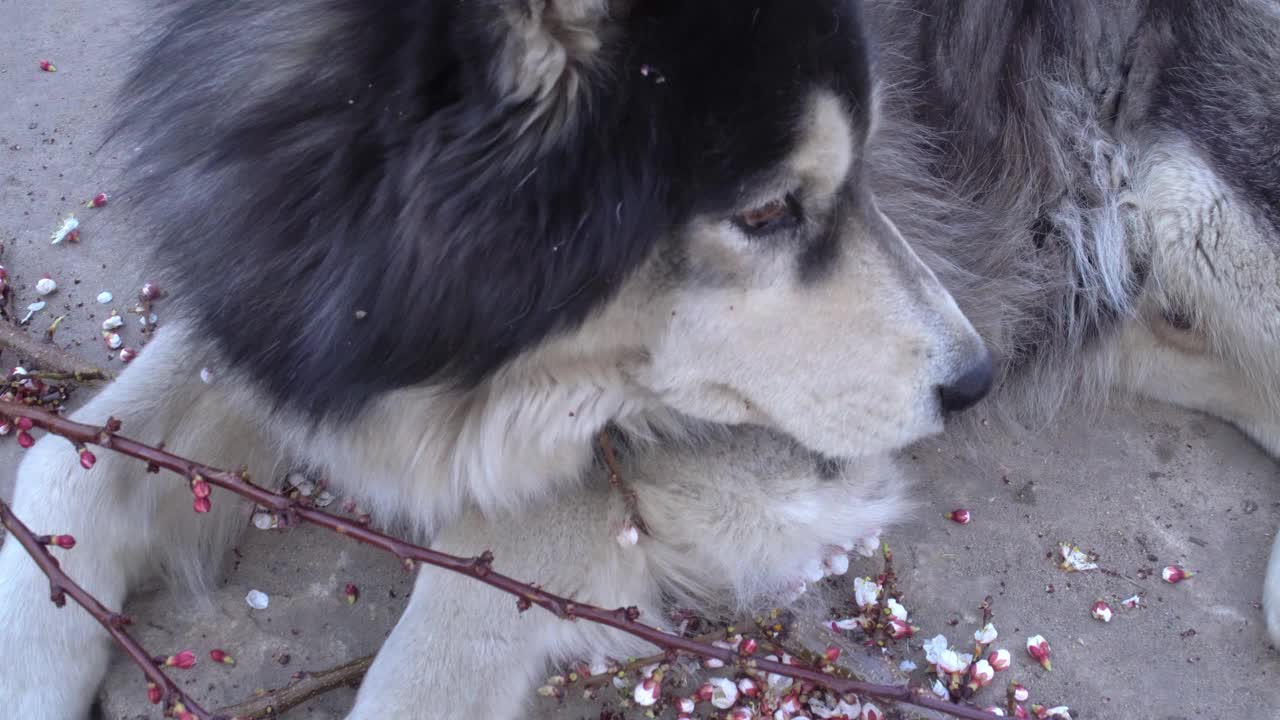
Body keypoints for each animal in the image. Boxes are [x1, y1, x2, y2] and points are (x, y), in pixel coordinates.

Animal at [0, 1, 1274, 712]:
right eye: (765, 211)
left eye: (857, 171)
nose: (970, 382)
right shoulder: (294, 317)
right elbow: (66, 468)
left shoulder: (752, 454)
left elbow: (456, 615)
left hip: (1193, 198)